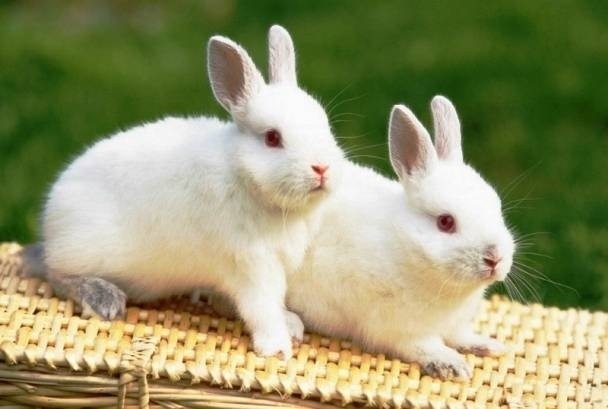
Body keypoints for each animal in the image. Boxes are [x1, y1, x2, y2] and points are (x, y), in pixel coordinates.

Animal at [39, 25, 344, 360]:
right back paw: (104, 299)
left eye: (325, 125)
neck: (246, 179)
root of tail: (52, 213)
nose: (322, 168)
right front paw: (277, 348)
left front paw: (292, 324)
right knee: (56, 275)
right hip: (80, 251)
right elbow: (262, 308)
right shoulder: (252, 265)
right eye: (273, 138)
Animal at [282, 96, 516, 380]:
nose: (495, 258)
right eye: (445, 222)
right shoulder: (397, 329)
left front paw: (487, 345)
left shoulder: (455, 325)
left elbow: (460, 336)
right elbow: (424, 345)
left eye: (496, 207)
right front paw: (452, 365)